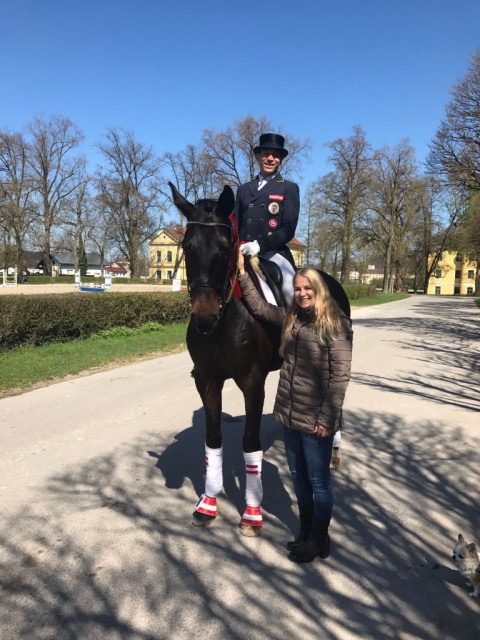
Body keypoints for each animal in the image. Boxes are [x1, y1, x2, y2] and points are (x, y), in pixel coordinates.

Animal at [169, 182, 348, 536]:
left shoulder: (252, 381)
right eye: (186, 245)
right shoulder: (207, 380)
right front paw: (208, 505)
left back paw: (333, 452)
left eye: (226, 247)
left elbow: (251, 443)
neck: (226, 318)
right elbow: (213, 439)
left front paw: (252, 514)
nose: (204, 318)